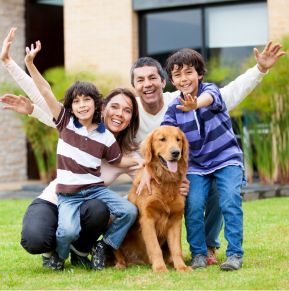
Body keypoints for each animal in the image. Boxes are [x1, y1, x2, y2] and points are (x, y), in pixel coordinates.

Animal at [113, 125, 190, 274]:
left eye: (178, 139)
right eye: (162, 139)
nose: (176, 152)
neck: (165, 181)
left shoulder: (176, 218)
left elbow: (176, 248)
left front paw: (181, 267)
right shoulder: (147, 219)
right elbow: (155, 248)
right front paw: (160, 268)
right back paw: (120, 264)